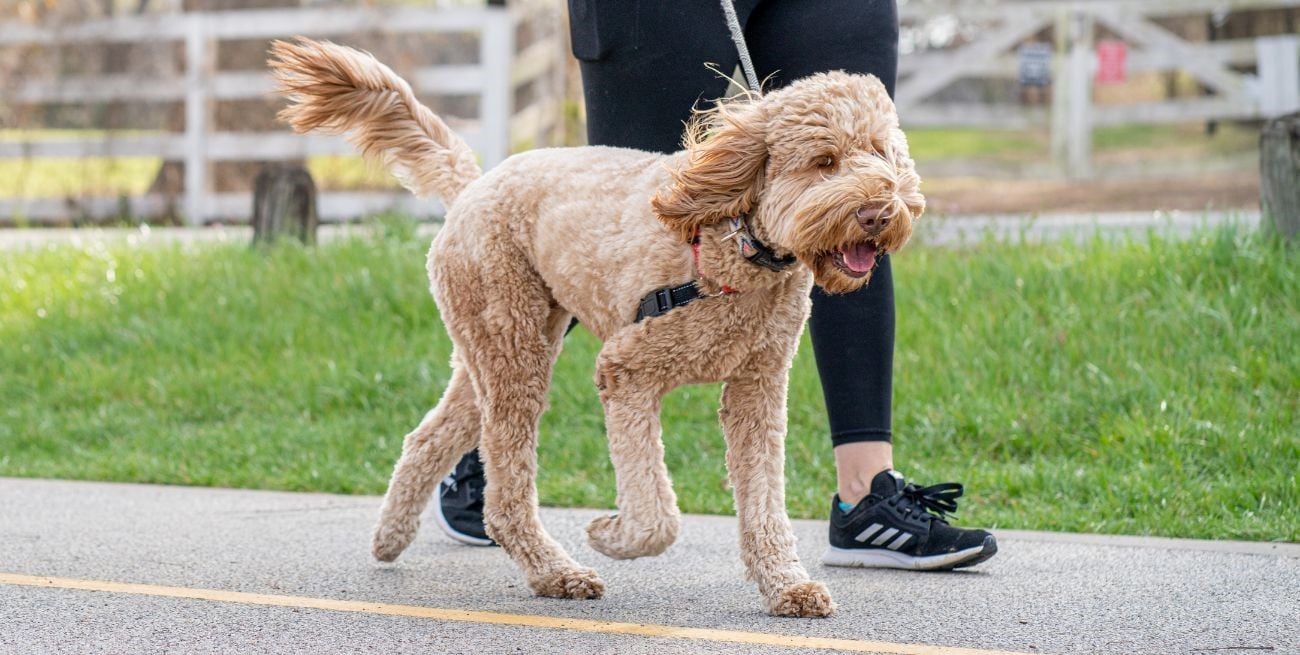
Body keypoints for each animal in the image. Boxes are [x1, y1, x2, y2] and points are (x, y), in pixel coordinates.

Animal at [271, 38, 925, 616]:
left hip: (500, 345)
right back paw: (555, 573)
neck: (734, 243)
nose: (880, 212)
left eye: (881, 154)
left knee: (428, 438)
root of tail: (474, 185)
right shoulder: (626, 371)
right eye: (824, 161)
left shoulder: (756, 391)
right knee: (506, 492)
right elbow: (656, 515)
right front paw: (611, 534)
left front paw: (786, 585)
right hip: (513, 348)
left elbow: (764, 501)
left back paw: (390, 537)